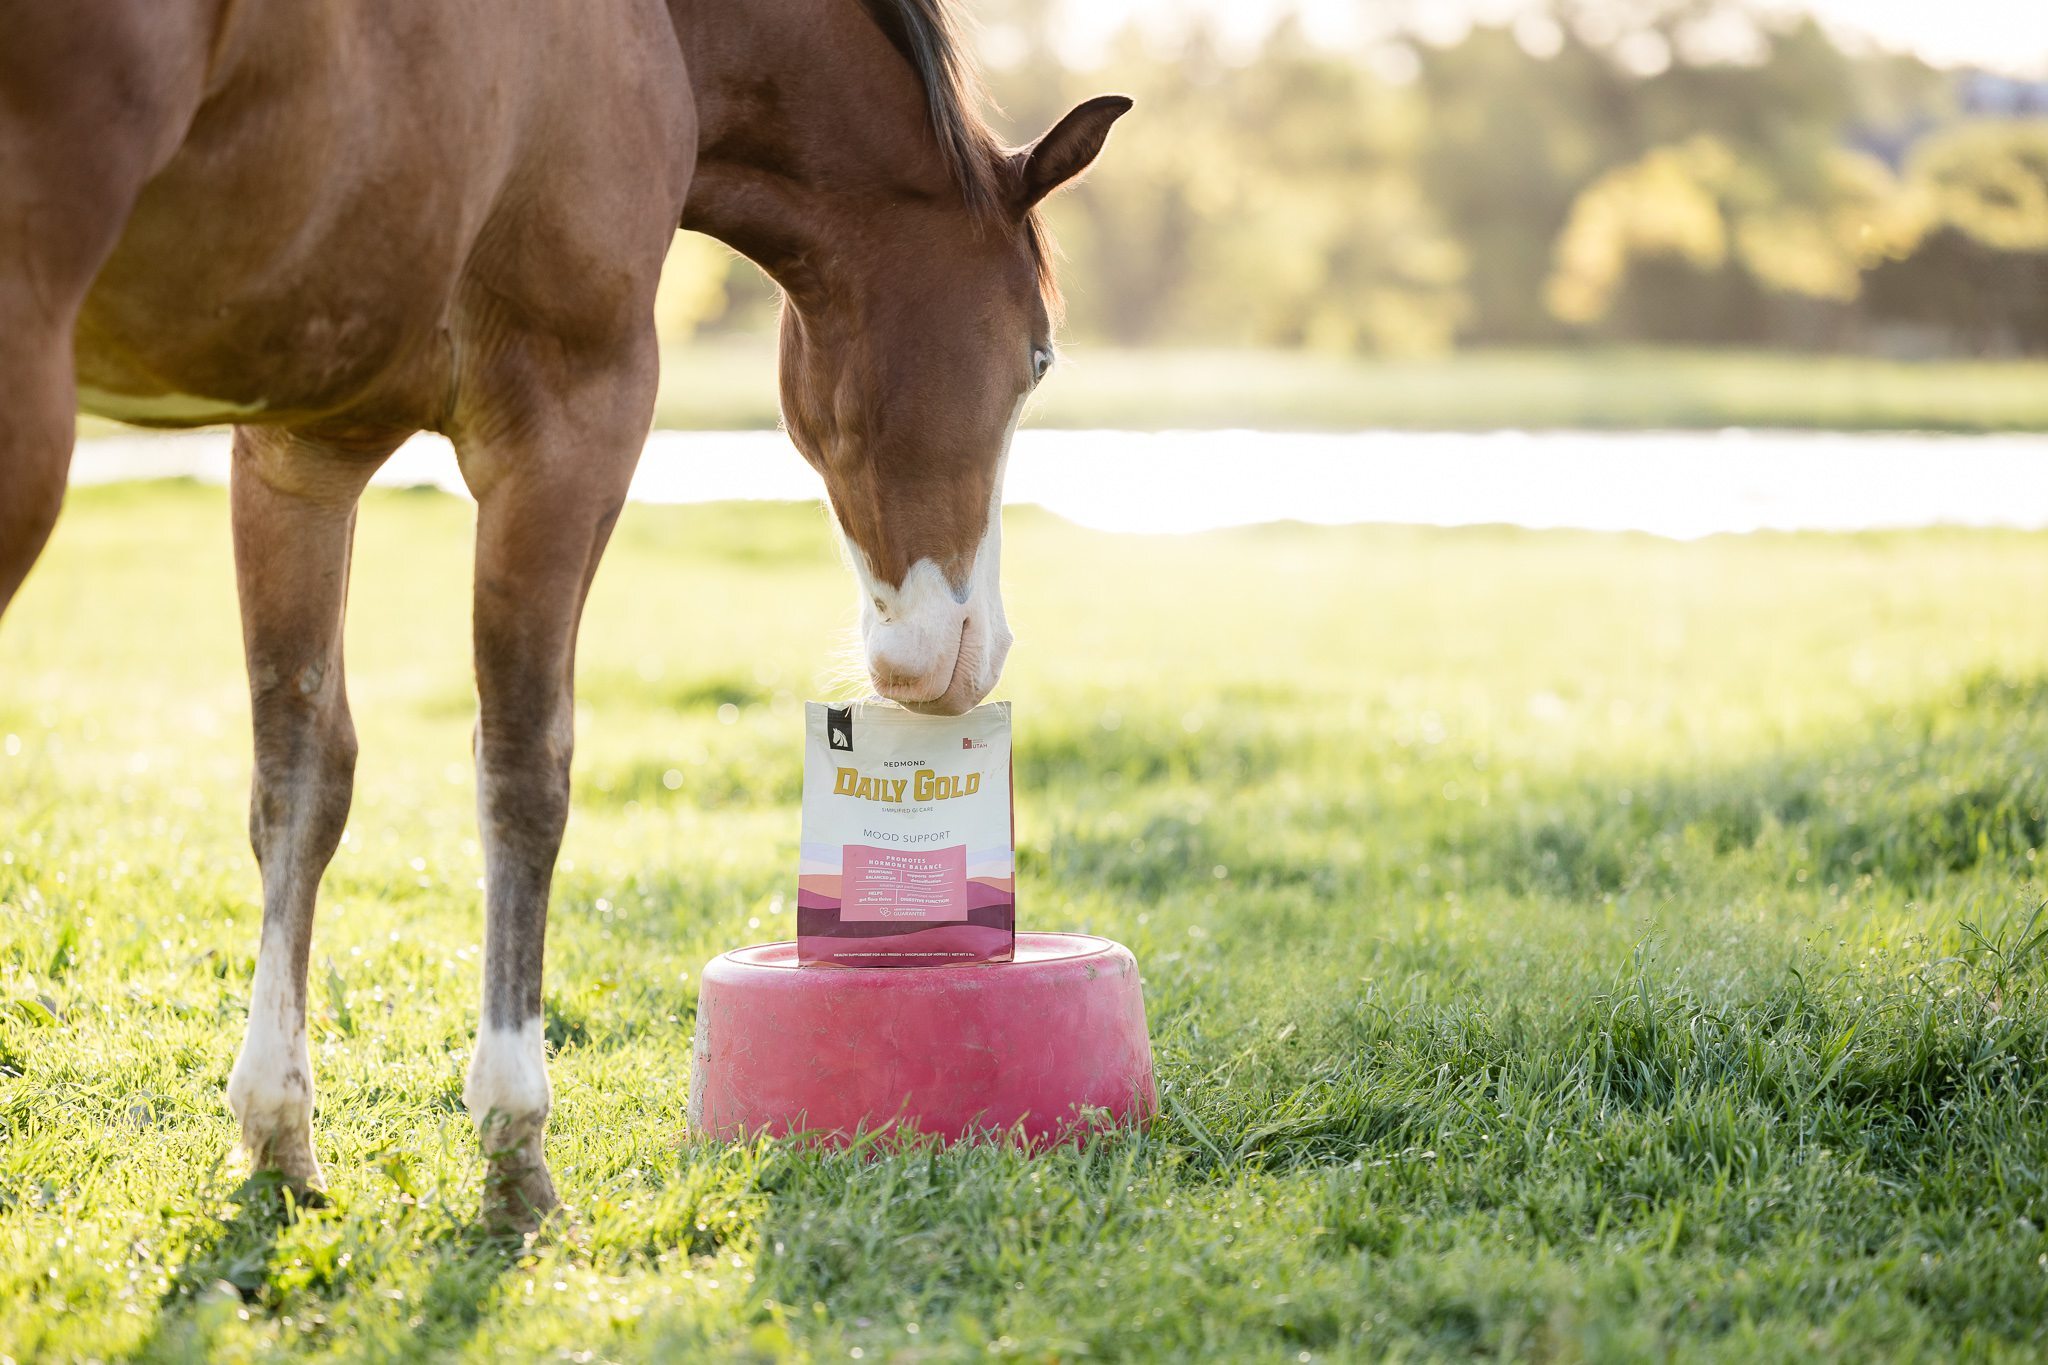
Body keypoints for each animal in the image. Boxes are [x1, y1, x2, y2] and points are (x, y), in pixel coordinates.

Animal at [0, 0, 1127, 1226]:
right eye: (1038, 357)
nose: (969, 649)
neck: (662, 35)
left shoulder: (301, 449)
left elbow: (299, 779)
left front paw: (279, 1133)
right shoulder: (569, 429)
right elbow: (523, 771)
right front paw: (514, 1144)